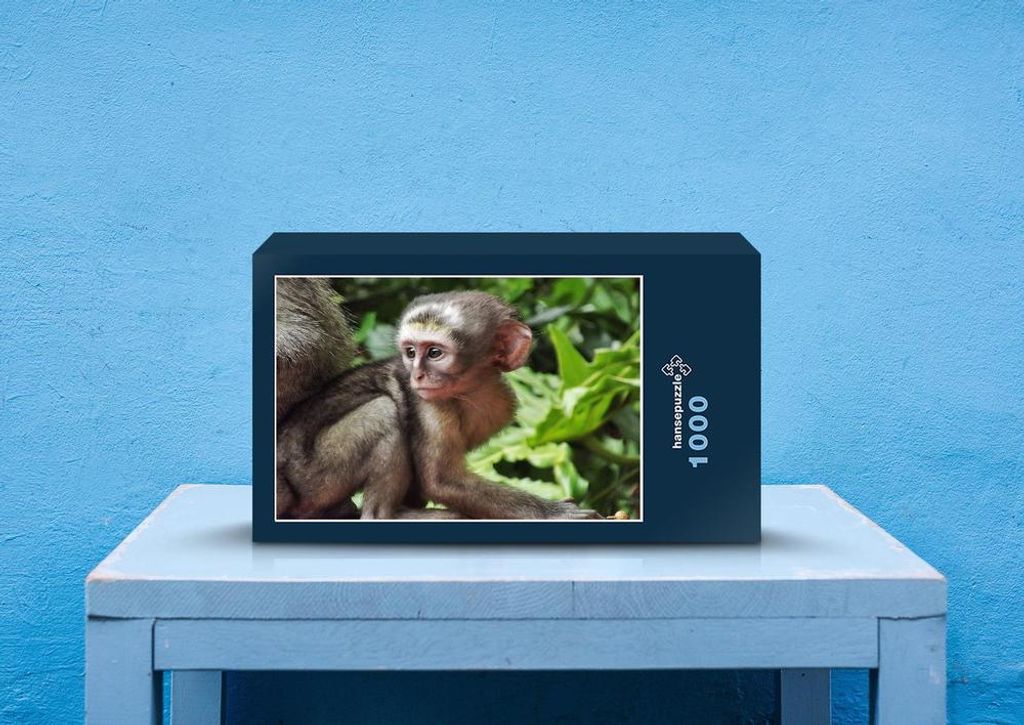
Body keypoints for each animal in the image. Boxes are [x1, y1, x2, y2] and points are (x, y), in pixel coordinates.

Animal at [276, 290, 601, 520]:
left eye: (434, 353)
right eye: (410, 352)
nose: (417, 375)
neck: (472, 392)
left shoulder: (501, 405)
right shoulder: (429, 403)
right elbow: (441, 481)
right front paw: (554, 513)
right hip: (312, 476)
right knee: (383, 411)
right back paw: (385, 516)